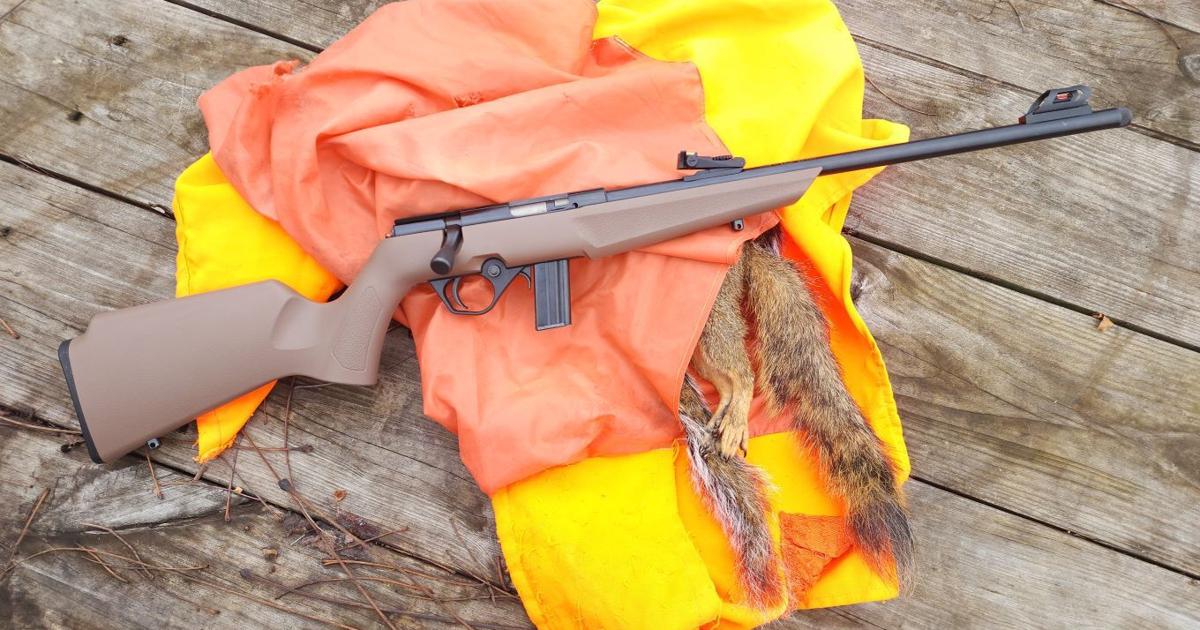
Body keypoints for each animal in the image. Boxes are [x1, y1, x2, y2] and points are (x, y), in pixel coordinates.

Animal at [680, 226, 913, 607]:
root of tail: (745, 252)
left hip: (713, 318)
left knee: (742, 373)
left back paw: (734, 422)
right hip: (699, 346)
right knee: (724, 381)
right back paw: (725, 422)